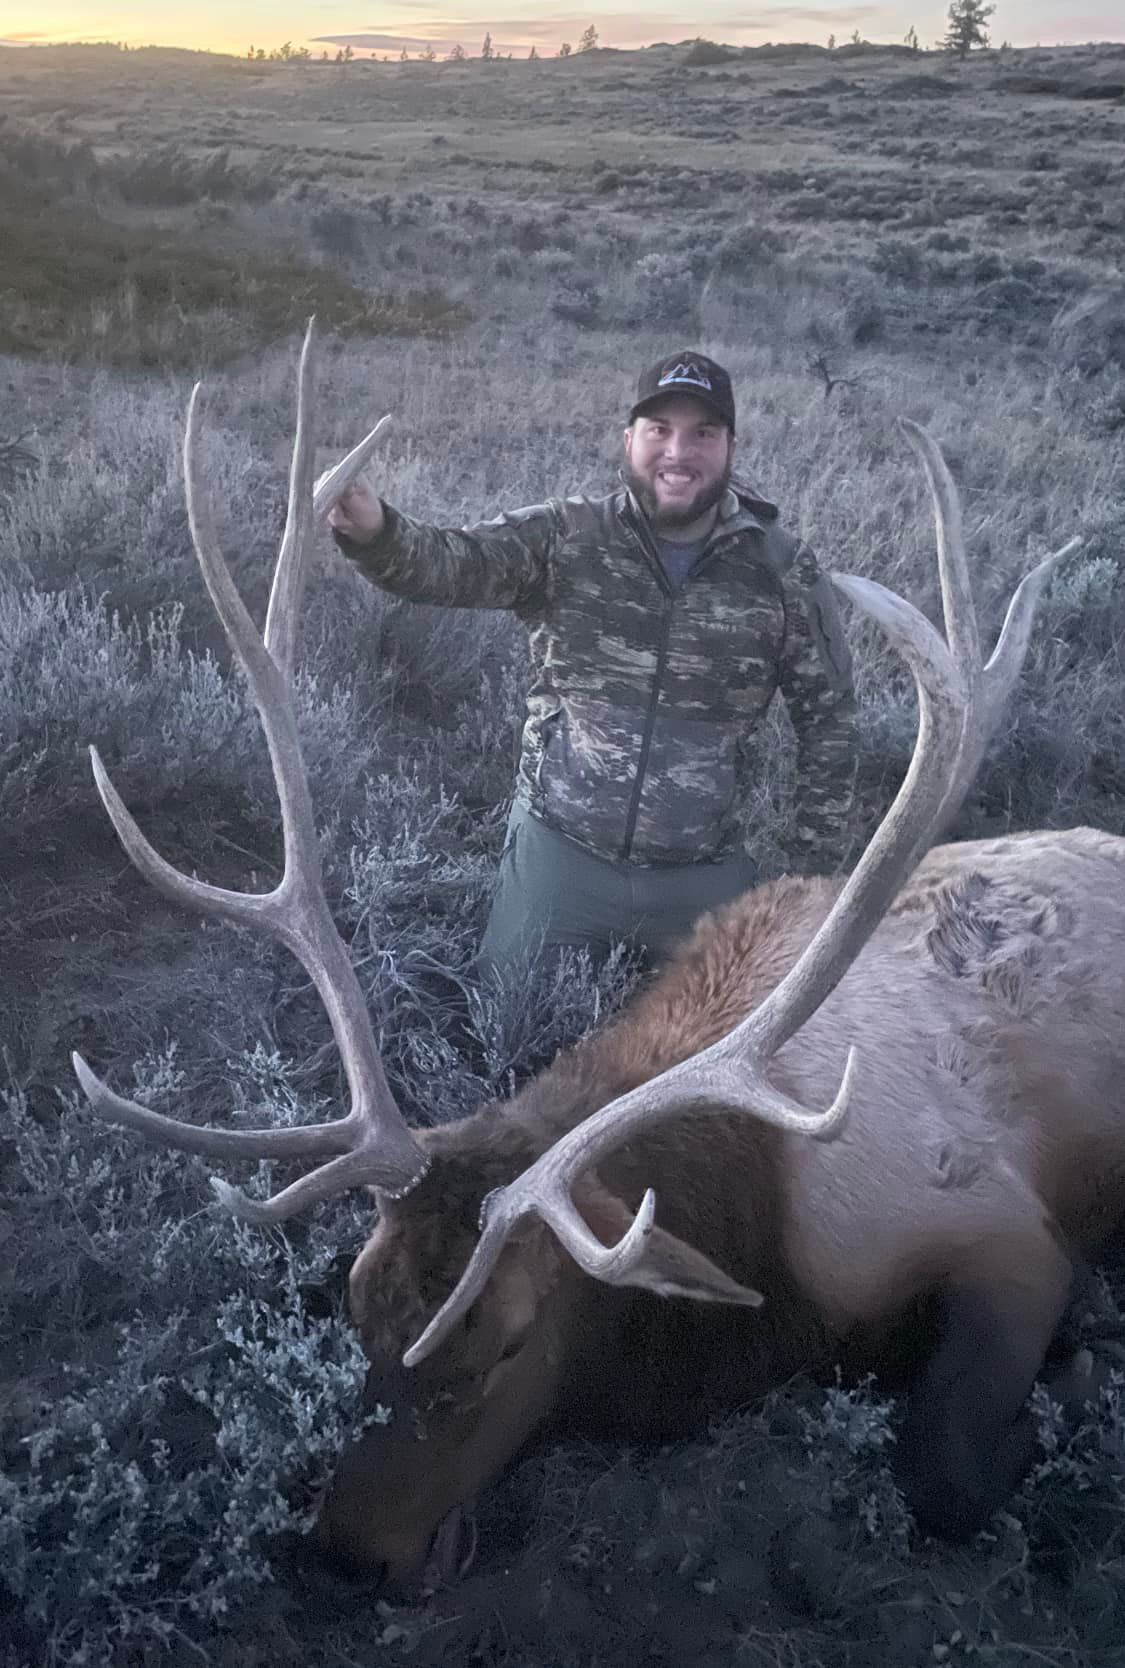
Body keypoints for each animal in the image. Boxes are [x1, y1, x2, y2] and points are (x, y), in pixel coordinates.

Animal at [73, 322, 1117, 1595]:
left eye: (511, 1341)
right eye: (359, 1313)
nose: (352, 1548)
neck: (764, 1224)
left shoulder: (1004, 1233)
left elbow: (947, 1468)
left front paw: (1068, 1385)